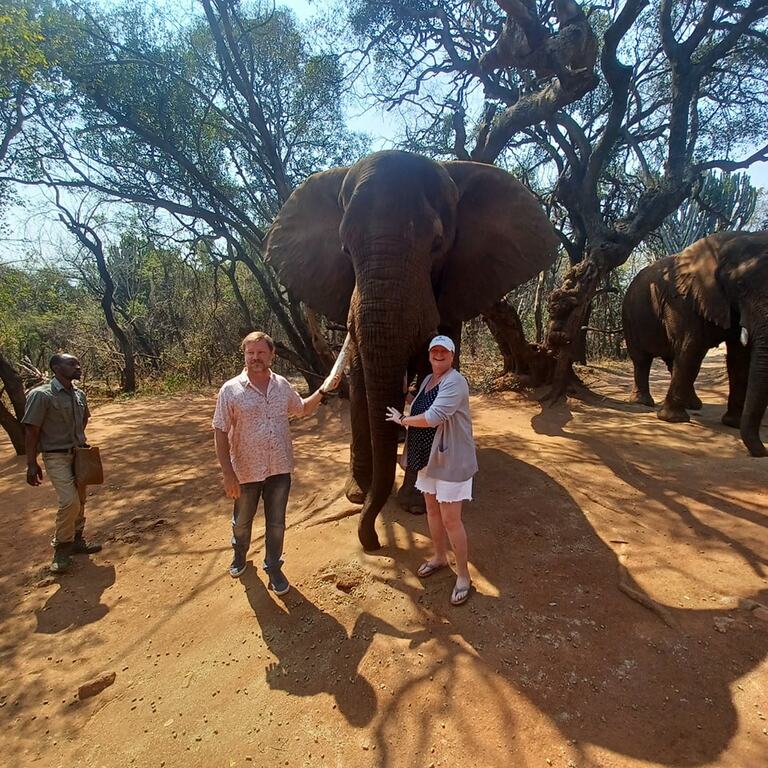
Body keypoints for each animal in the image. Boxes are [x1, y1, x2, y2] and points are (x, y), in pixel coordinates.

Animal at [266, 150, 559, 549]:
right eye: (344, 248)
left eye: (436, 244)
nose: (374, 542)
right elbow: (361, 376)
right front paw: (357, 495)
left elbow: (434, 373)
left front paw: (417, 504)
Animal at [622, 230, 768, 457]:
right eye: (740, 285)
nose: (763, 451)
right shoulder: (683, 300)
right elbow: (691, 348)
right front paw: (672, 419)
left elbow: (739, 358)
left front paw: (732, 423)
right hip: (630, 317)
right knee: (642, 359)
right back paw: (643, 402)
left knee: (673, 361)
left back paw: (693, 405)